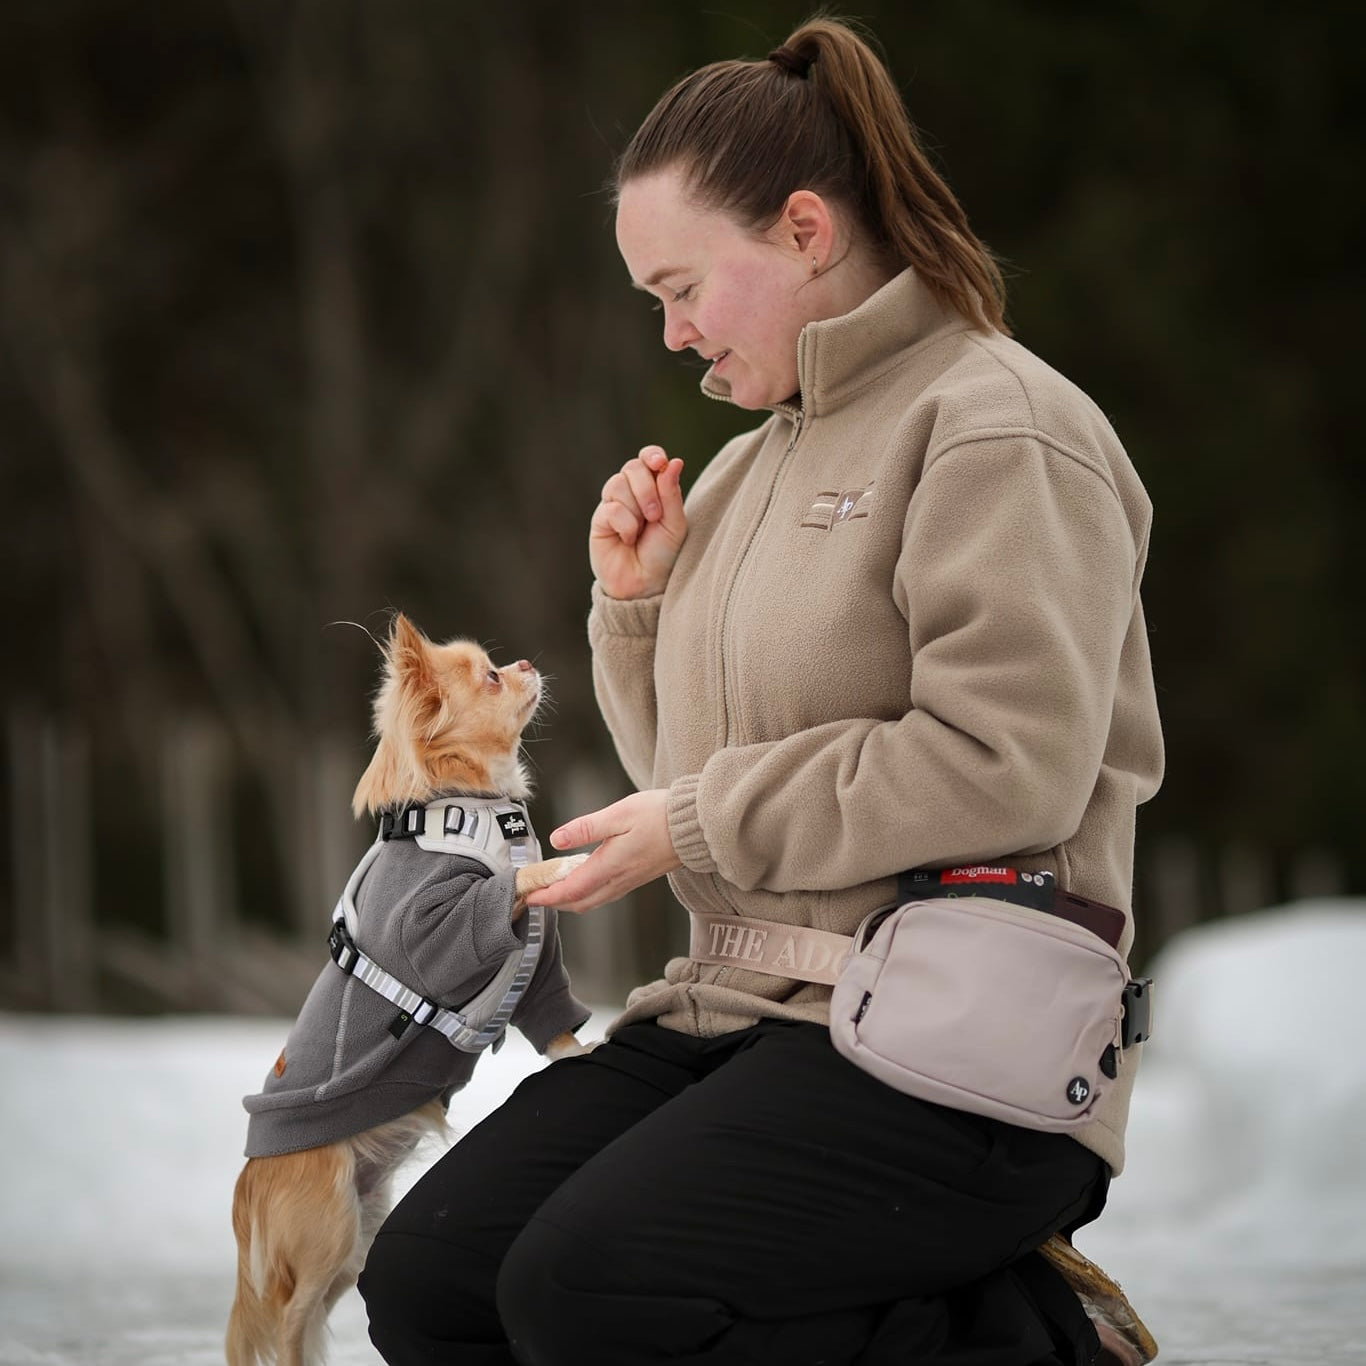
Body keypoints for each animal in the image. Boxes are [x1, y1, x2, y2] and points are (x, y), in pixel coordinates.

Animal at [225, 617, 587, 1366]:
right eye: (491, 678)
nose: (526, 663)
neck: (480, 811)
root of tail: (248, 1192)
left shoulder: (539, 968)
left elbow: (557, 1023)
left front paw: (586, 1057)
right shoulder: (435, 932)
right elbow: (509, 887)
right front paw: (564, 865)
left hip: (356, 1233)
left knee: (306, 1313)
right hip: (326, 1225)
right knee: (286, 1318)